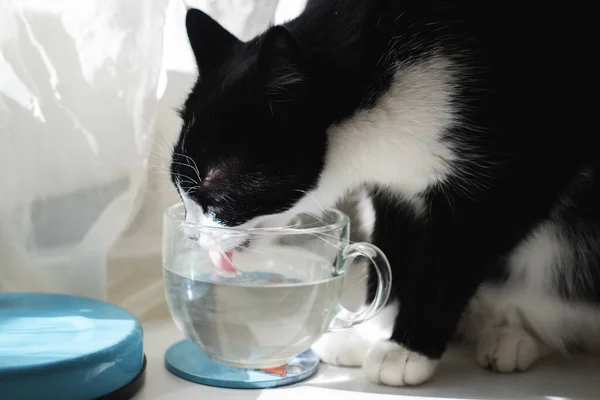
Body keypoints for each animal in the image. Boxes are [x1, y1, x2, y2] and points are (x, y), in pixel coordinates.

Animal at [171, 1, 596, 386]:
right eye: (180, 188)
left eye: (215, 194)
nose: (190, 234)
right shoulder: (394, 189)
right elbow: (394, 248)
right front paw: (373, 331)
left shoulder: (520, 168)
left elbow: (453, 257)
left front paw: (408, 350)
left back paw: (515, 334)